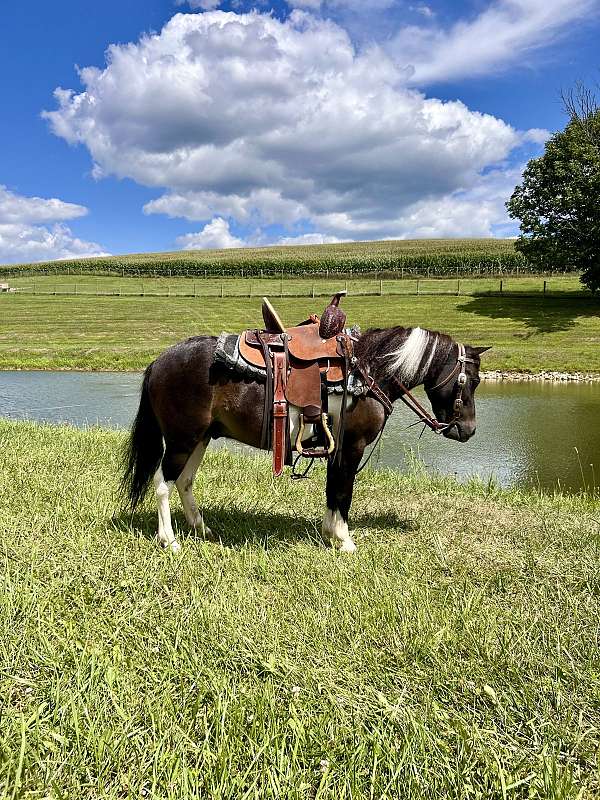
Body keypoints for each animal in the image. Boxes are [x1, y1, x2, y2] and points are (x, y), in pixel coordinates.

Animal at [120, 324, 488, 552]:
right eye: (469, 381)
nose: (468, 430)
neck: (368, 373)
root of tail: (159, 361)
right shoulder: (351, 447)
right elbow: (343, 492)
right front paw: (345, 540)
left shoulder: (338, 449)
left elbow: (332, 490)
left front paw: (329, 533)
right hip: (181, 440)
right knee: (163, 484)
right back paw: (169, 540)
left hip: (200, 439)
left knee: (184, 482)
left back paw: (202, 529)